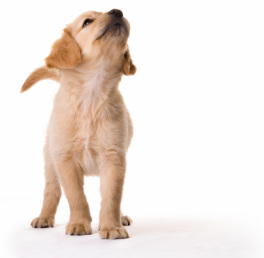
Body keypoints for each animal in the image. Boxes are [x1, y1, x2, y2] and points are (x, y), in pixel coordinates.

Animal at [20, 10, 136, 240]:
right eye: (87, 22)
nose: (117, 11)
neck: (91, 97)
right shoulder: (65, 160)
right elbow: (76, 196)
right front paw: (79, 224)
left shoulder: (114, 158)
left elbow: (112, 197)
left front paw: (112, 227)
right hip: (50, 162)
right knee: (52, 191)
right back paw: (44, 218)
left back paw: (121, 217)